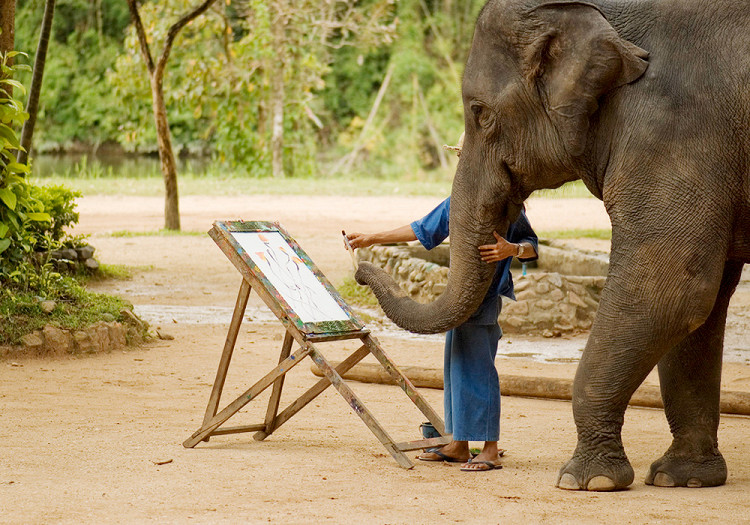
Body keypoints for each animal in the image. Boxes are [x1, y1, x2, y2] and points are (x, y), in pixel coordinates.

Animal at [356, 0, 750, 492]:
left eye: (480, 113)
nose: (357, 268)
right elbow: (703, 306)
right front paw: (682, 477)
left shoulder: (677, 133)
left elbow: (669, 290)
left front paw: (587, 482)